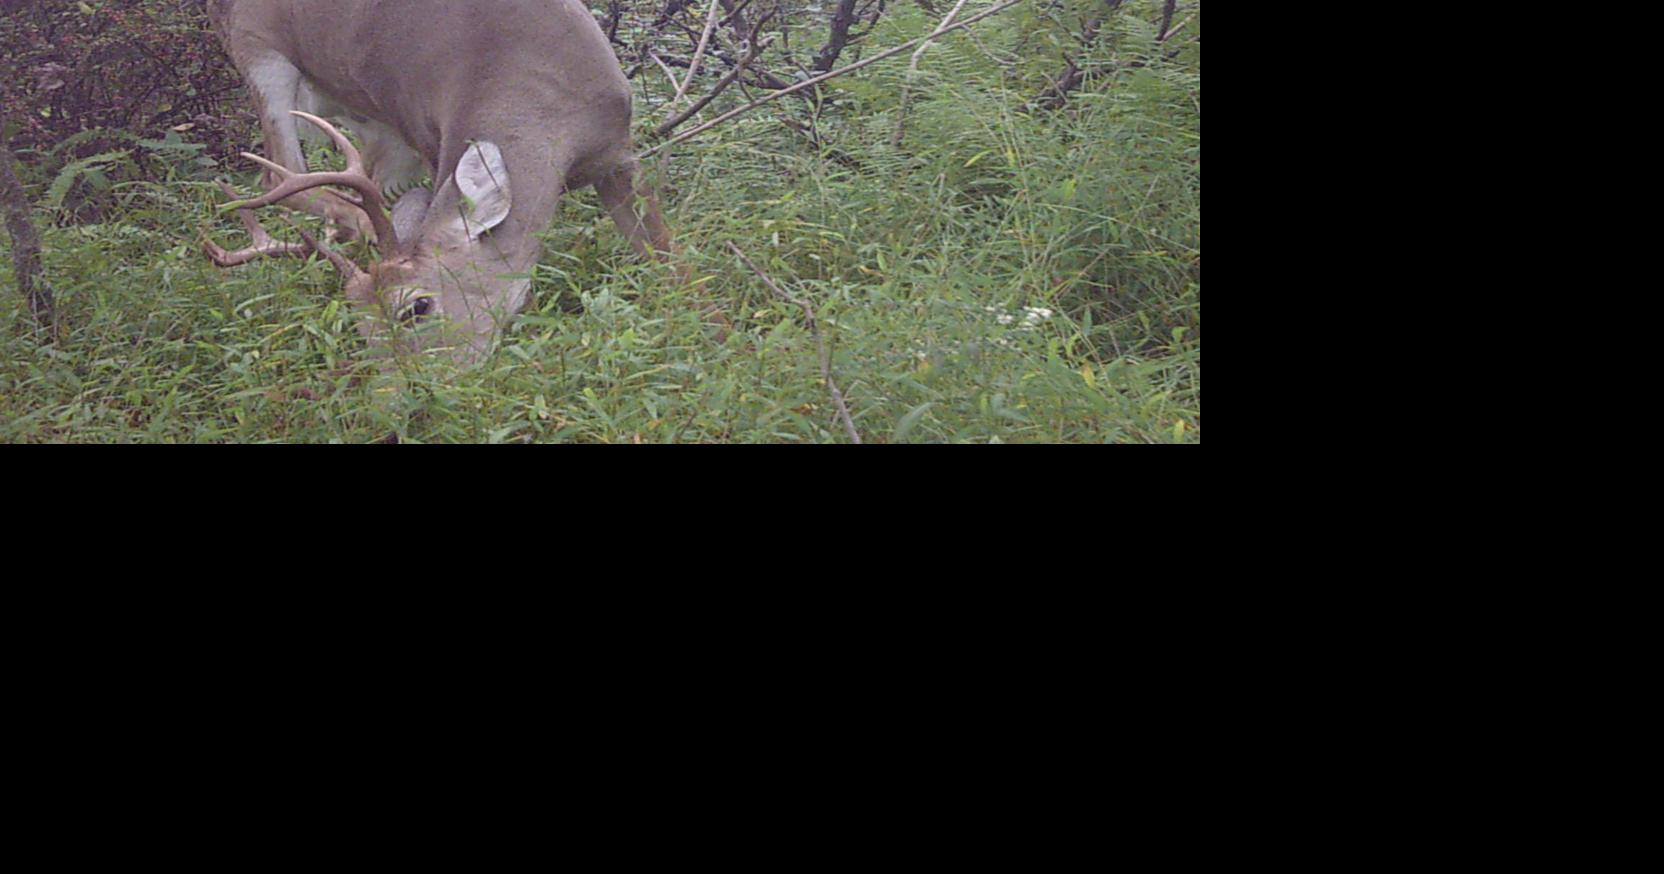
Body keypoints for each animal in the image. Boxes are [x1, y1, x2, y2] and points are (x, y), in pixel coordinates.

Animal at [203, 0, 675, 363]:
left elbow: (662, 254)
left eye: (418, 307)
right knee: (281, 170)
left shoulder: (618, 152)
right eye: (362, 328)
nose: (409, 405)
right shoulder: (429, 136)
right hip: (257, 50)